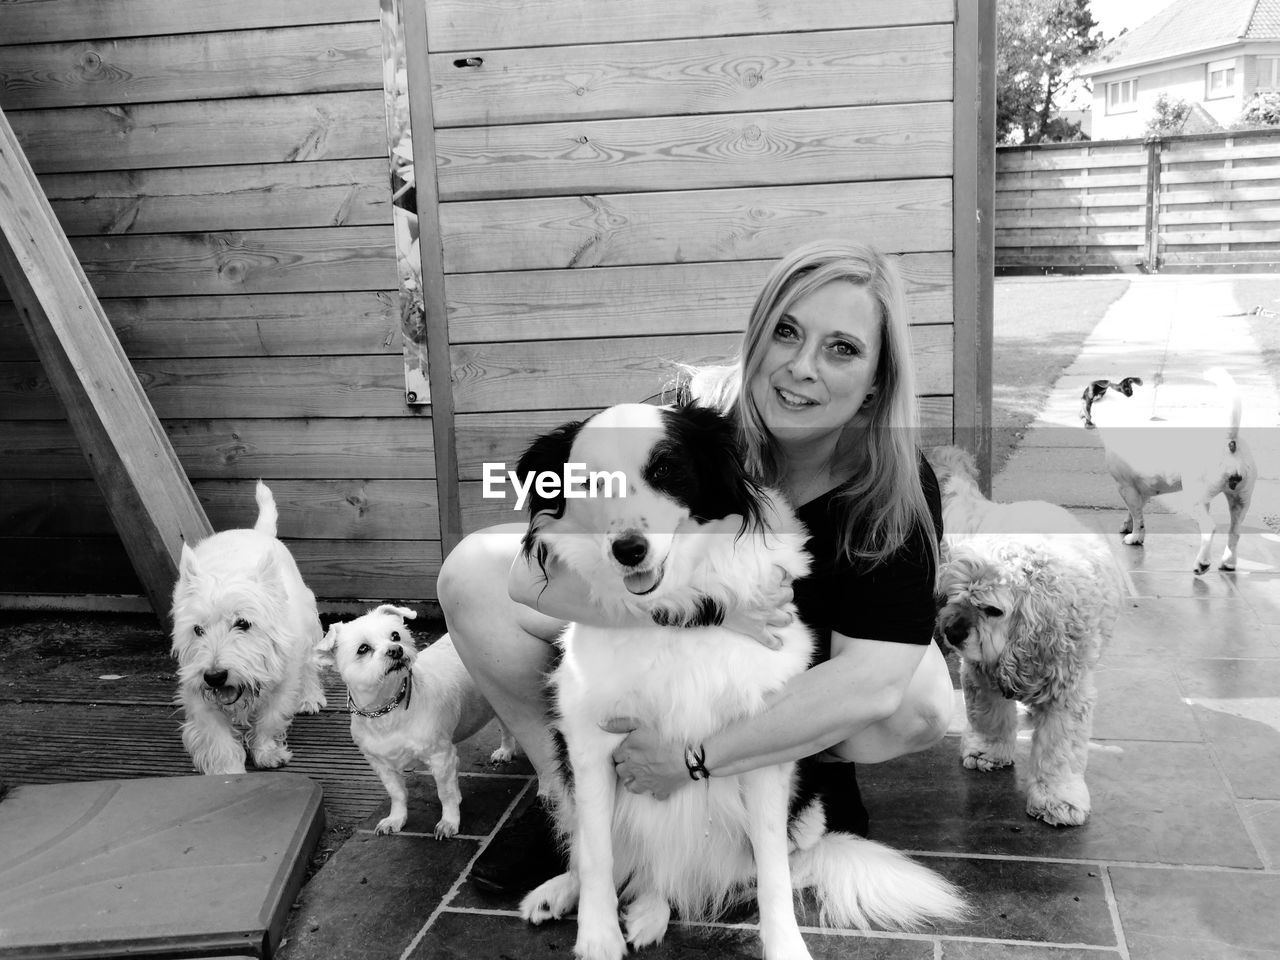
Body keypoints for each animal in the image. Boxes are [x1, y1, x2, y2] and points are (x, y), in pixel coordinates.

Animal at [171, 483, 325, 778]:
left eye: (243, 623)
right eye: (197, 629)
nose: (215, 676)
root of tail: (256, 531)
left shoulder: (283, 682)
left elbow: (269, 719)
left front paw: (267, 753)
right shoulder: (196, 689)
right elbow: (217, 737)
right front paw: (228, 771)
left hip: (310, 621)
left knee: (311, 663)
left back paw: (310, 698)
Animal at [317, 609, 517, 839]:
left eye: (395, 635)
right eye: (363, 648)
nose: (395, 650)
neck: (388, 708)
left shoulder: (440, 756)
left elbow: (445, 793)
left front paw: (449, 821)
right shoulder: (381, 765)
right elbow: (397, 793)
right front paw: (396, 819)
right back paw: (506, 750)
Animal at [514, 404, 962, 960]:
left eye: (665, 469)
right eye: (590, 483)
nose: (628, 550)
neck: (679, 616)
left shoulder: (763, 752)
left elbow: (772, 872)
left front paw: (787, 946)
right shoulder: (589, 742)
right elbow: (597, 854)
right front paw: (598, 939)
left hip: (806, 809)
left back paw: (649, 910)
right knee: (610, 856)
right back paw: (570, 894)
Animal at [926, 445, 1126, 829]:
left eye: (992, 609)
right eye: (954, 596)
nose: (952, 632)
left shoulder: (1069, 692)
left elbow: (1059, 749)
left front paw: (1058, 799)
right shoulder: (980, 672)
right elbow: (988, 714)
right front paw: (987, 751)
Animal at [1075, 366, 1254, 570]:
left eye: (1083, 398)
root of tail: (1229, 441)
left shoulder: (1125, 487)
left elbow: (1137, 516)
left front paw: (1135, 537)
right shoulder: (1140, 490)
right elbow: (1134, 512)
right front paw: (1128, 527)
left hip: (1196, 498)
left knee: (1209, 527)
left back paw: (1202, 563)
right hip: (1240, 500)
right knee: (1235, 531)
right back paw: (1228, 563)